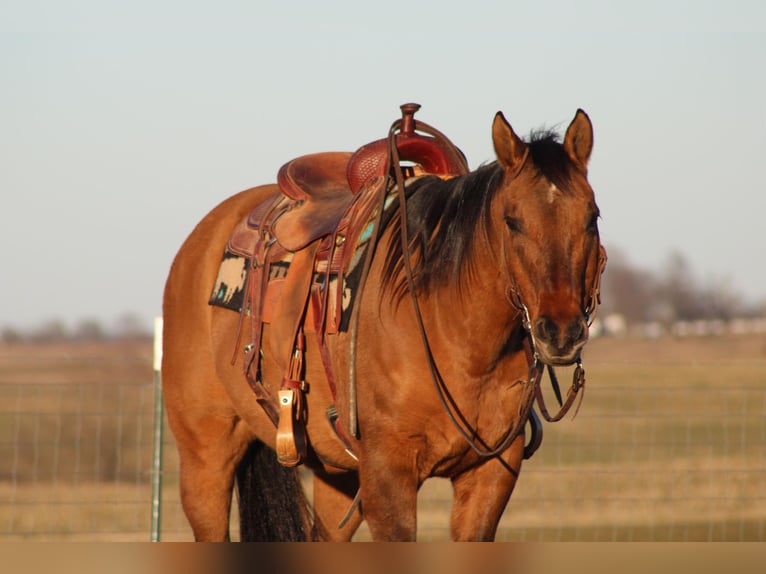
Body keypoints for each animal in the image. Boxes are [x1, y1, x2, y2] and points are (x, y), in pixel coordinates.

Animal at [160, 104, 608, 544]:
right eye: (512, 220)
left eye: (592, 217)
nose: (561, 333)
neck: (455, 335)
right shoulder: (388, 475)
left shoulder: (491, 475)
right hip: (206, 458)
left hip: (336, 476)